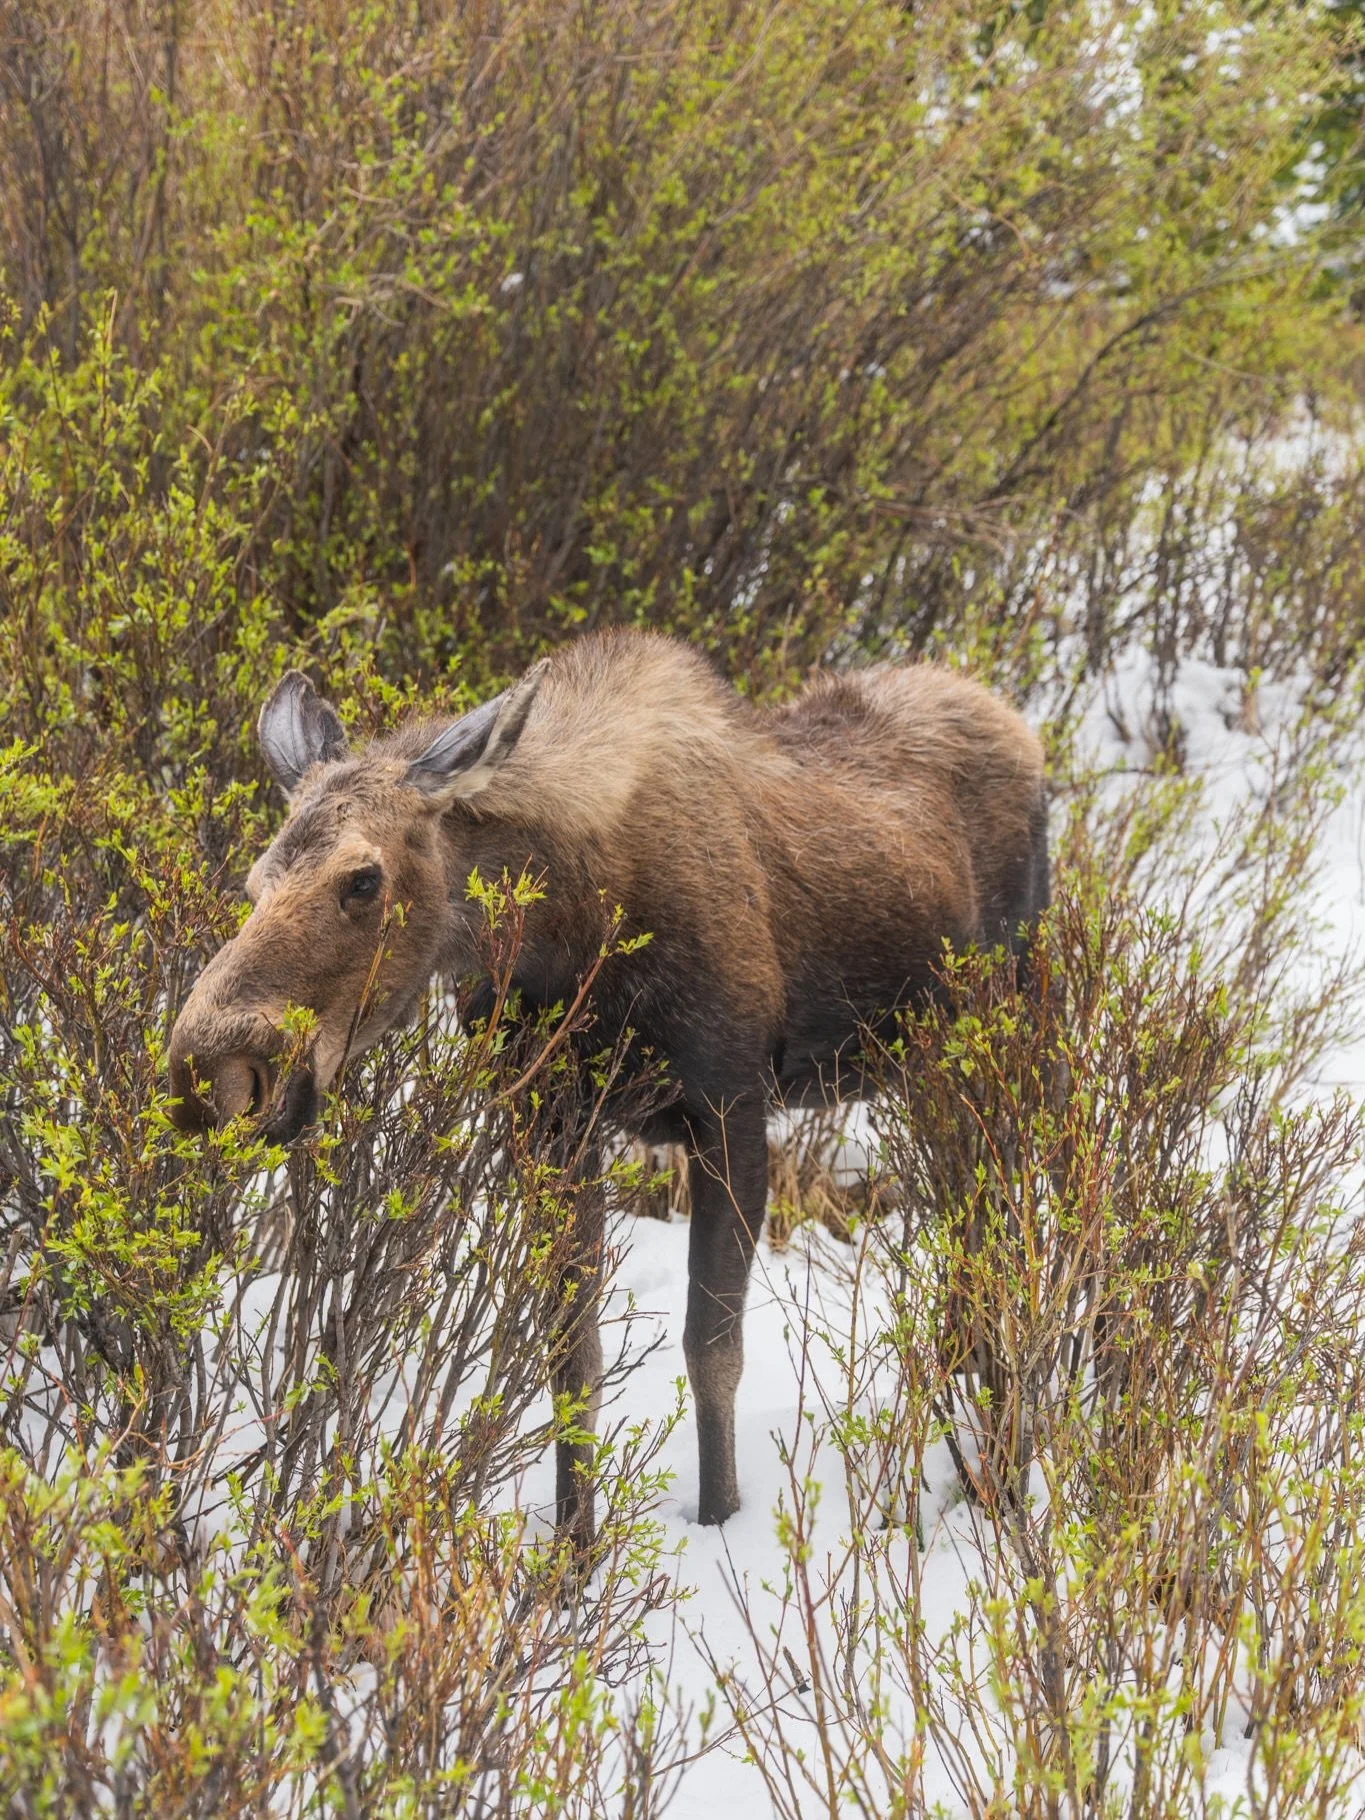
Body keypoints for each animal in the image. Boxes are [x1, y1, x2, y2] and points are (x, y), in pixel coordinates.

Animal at [168, 630, 1049, 1541]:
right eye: (254, 881)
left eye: (363, 878)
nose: (213, 1070)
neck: (565, 936)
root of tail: (1020, 732)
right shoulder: (551, 1123)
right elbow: (570, 1354)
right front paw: (573, 1544)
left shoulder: (731, 1110)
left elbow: (711, 1349)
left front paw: (718, 1519)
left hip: (998, 1030)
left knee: (997, 1216)